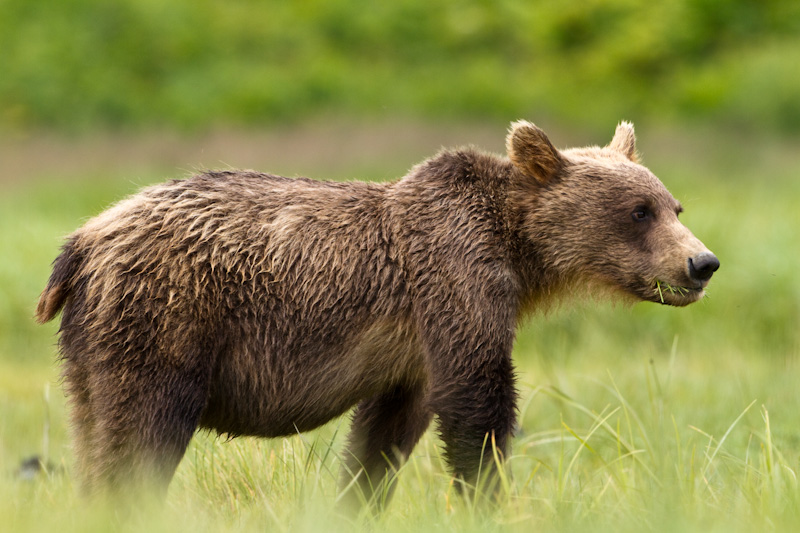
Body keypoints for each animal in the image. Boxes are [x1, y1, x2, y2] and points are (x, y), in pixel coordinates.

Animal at [34, 118, 720, 504]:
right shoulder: (455, 281)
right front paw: (489, 497)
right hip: (166, 317)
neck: (519, 253)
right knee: (142, 432)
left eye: (674, 205)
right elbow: (477, 404)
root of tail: (87, 236)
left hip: (89, 344)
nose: (702, 263)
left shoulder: (409, 348)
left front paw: (360, 498)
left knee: (94, 429)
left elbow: (384, 434)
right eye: (639, 211)